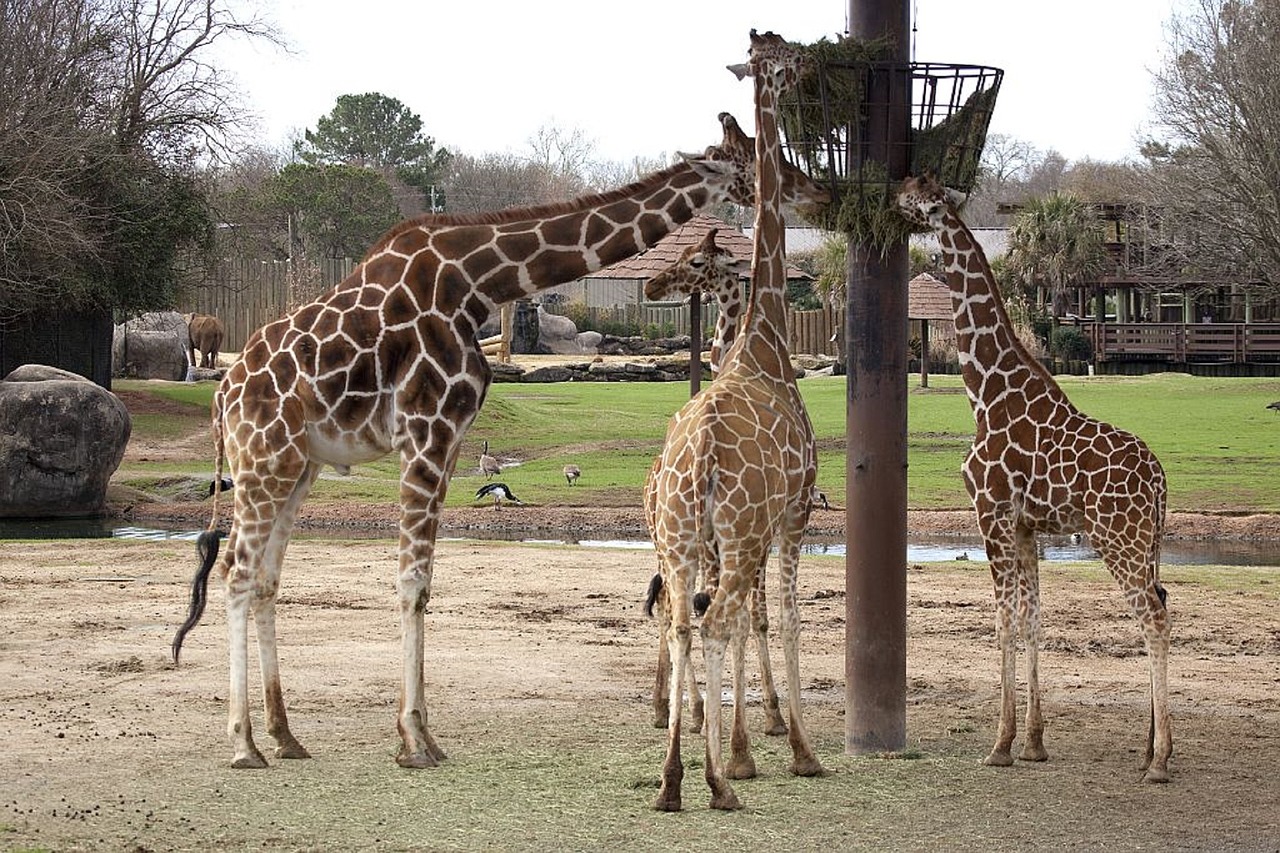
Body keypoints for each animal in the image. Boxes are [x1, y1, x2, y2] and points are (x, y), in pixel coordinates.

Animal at [634, 229, 783, 732]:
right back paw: (689, 710)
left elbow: (746, 614)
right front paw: (769, 713)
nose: (652, 284)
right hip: (678, 545)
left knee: (672, 606)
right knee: (675, 608)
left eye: (697, 260)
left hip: (678, 546)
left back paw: (666, 708)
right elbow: (749, 616)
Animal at [896, 174, 1172, 783]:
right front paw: (1034, 742)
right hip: (1148, 543)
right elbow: (1032, 621)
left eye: (922, 191)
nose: (894, 193)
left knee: (1154, 617)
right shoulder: (1025, 527)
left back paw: (1161, 761)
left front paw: (1000, 743)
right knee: (1163, 602)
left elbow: (1002, 622)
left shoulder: (991, 514)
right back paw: (1149, 748)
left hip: (1117, 538)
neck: (985, 392)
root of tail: (1160, 481)